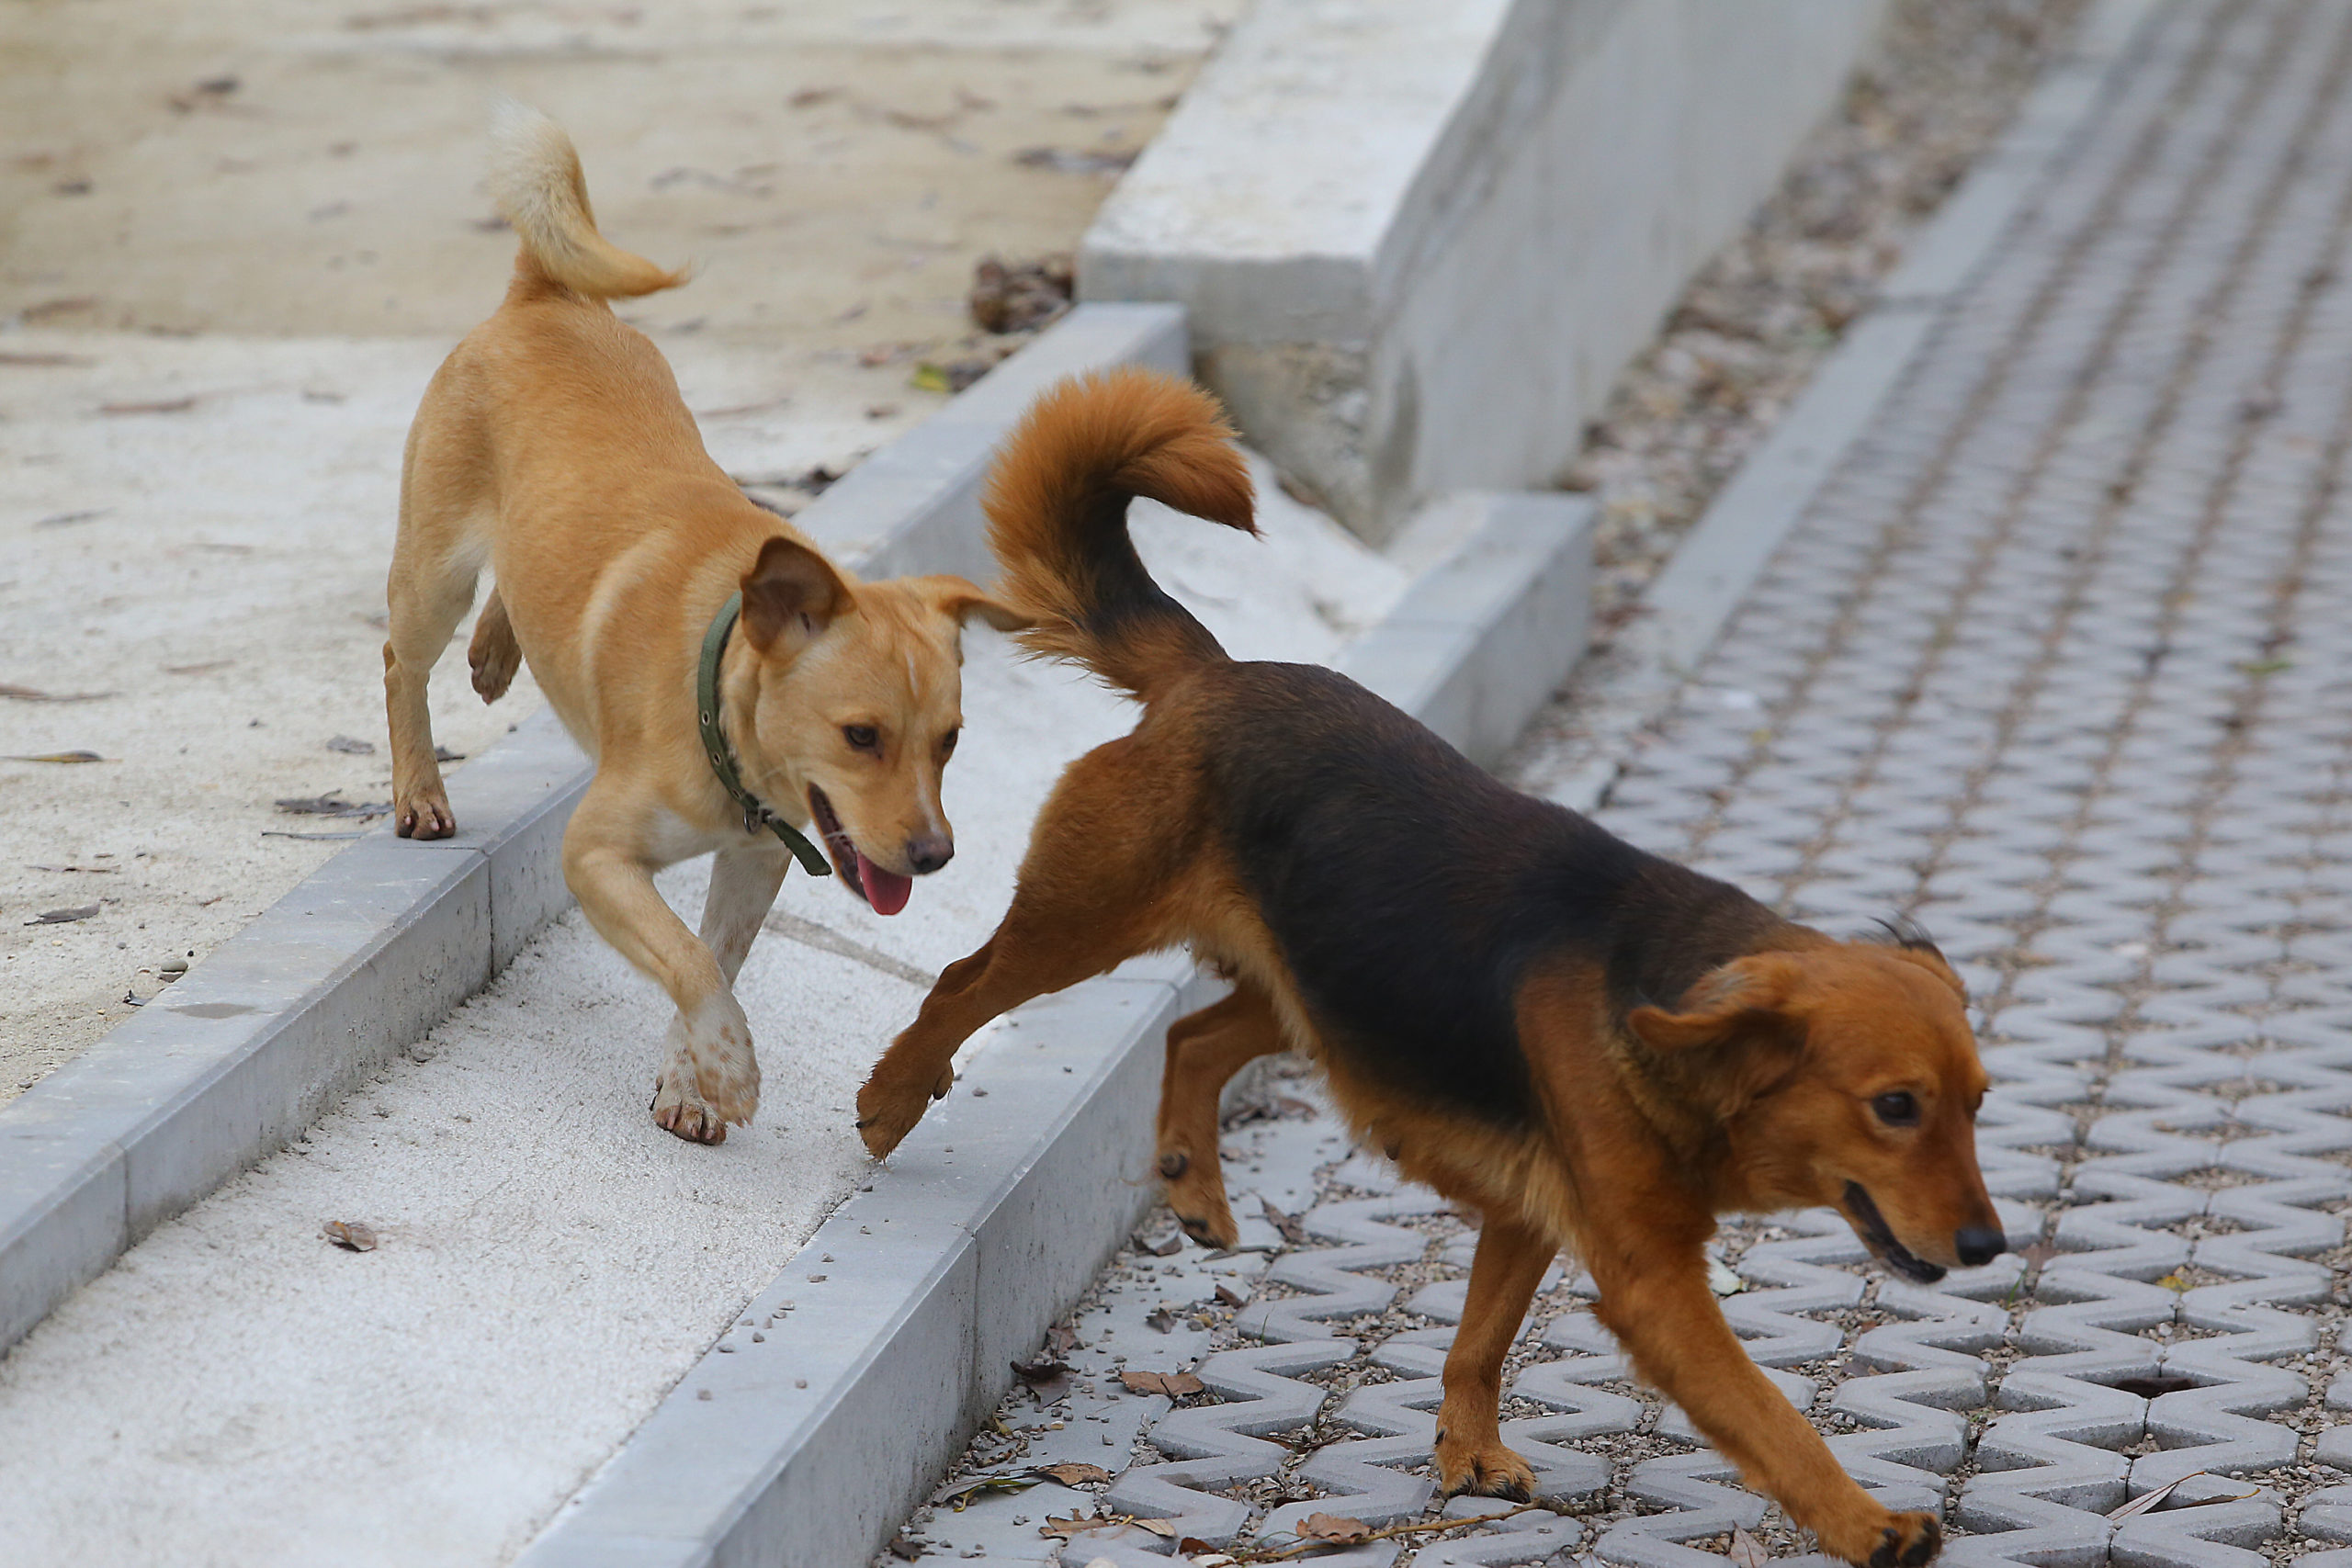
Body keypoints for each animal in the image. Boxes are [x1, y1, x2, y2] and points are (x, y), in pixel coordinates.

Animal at [380, 107, 1015, 1142]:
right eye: (862, 736)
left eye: (950, 742)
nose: (935, 856)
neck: (717, 690)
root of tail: (540, 294)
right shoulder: (595, 854)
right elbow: (688, 961)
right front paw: (731, 1067)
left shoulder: (753, 867)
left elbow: (712, 957)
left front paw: (688, 1083)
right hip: (433, 571)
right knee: (403, 659)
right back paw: (419, 789)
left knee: (510, 593)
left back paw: (496, 654)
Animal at [865, 371, 2004, 1568]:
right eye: (1894, 1107)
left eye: (1978, 1105)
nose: (1990, 1244)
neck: (1659, 1002)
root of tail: (1212, 673)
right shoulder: (1651, 1284)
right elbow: (1770, 1417)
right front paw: (1866, 1522)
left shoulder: (1526, 1214)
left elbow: (1476, 1342)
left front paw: (1464, 1454)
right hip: (1087, 924)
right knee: (959, 985)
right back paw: (891, 1099)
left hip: (1318, 992)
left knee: (1193, 1034)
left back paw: (1193, 1181)